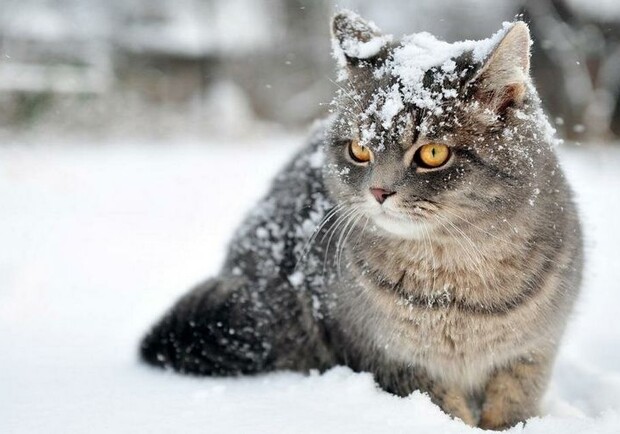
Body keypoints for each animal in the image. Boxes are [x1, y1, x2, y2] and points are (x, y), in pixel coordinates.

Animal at [139, 10, 580, 430]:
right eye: (359, 150)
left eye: (433, 153)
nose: (379, 192)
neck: (454, 283)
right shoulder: (393, 359)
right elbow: (445, 408)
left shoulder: (531, 355)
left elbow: (512, 407)